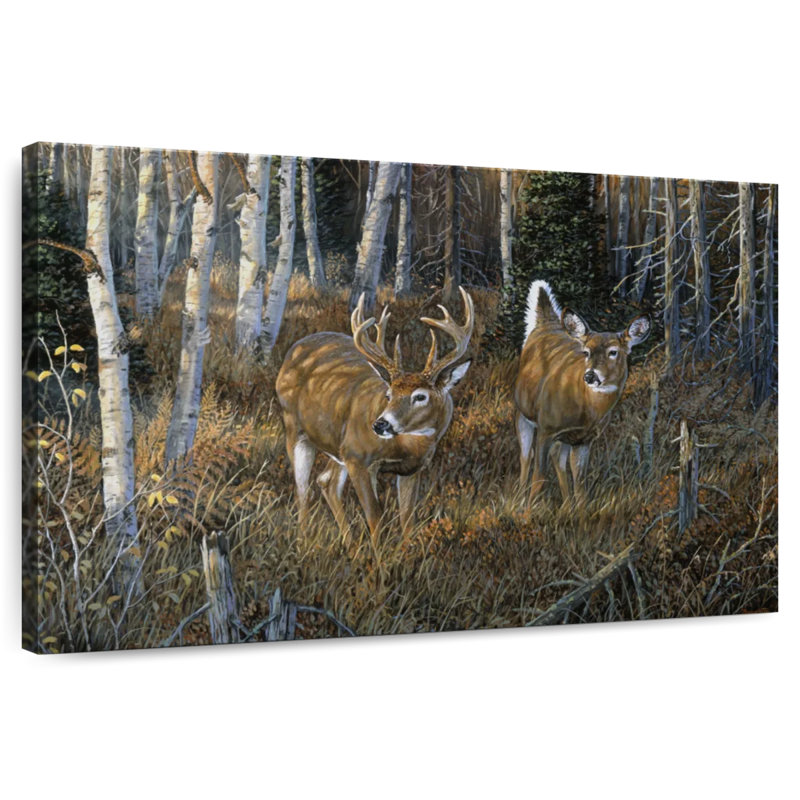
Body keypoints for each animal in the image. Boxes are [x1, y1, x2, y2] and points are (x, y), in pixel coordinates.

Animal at [276, 287, 474, 542]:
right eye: (389, 394)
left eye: (420, 396)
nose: (381, 424)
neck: (405, 447)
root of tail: (293, 349)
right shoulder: (358, 457)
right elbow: (375, 516)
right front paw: (378, 553)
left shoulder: (414, 468)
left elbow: (407, 519)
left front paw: (404, 551)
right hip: (295, 427)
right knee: (303, 491)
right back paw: (305, 541)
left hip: (338, 445)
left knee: (326, 481)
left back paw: (349, 545)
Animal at [514, 280, 650, 507]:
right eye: (586, 352)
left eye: (614, 352)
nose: (590, 376)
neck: (586, 410)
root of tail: (546, 323)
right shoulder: (545, 428)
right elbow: (539, 476)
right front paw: (527, 512)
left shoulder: (585, 439)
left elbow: (580, 484)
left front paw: (580, 511)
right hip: (522, 413)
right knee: (526, 457)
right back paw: (519, 500)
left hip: (566, 437)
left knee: (557, 459)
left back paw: (566, 506)